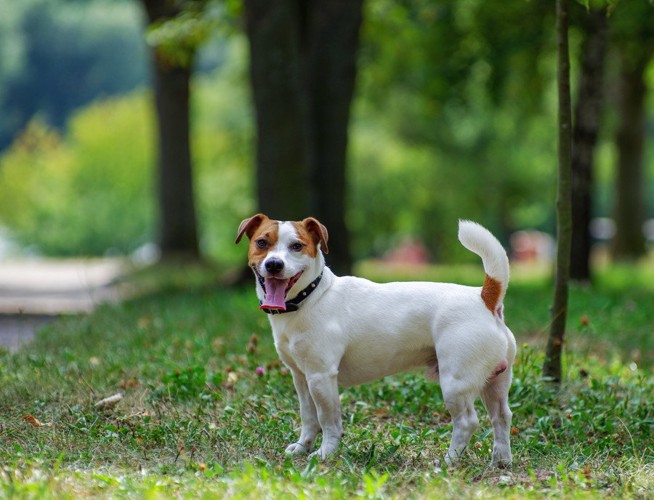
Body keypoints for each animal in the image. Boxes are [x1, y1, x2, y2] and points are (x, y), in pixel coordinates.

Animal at [236, 215, 516, 468]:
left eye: (297, 246)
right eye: (262, 242)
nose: (274, 264)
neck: (311, 297)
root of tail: (484, 298)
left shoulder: (321, 377)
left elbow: (328, 420)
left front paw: (326, 453)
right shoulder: (302, 378)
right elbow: (309, 417)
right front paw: (302, 447)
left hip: (455, 383)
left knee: (467, 422)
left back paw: (449, 460)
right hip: (494, 383)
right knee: (501, 417)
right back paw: (500, 460)